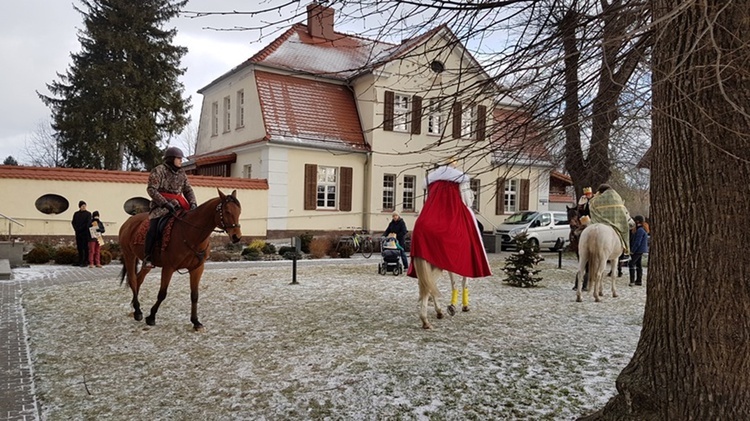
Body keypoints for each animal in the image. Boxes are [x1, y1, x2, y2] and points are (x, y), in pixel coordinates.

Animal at [119, 189, 244, 330]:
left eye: (239, 211)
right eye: (227, 211)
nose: (236, 236)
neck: (192, 234)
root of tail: (129, 221)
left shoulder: (197, 269)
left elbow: (194, 295)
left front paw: (196, 321)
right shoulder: (168, 268)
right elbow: (162, 293)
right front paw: (151, 317)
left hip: (148, 263)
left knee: (139, 279)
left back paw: (136, 308)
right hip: (129, 255)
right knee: (133, 280)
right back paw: (138, 312)